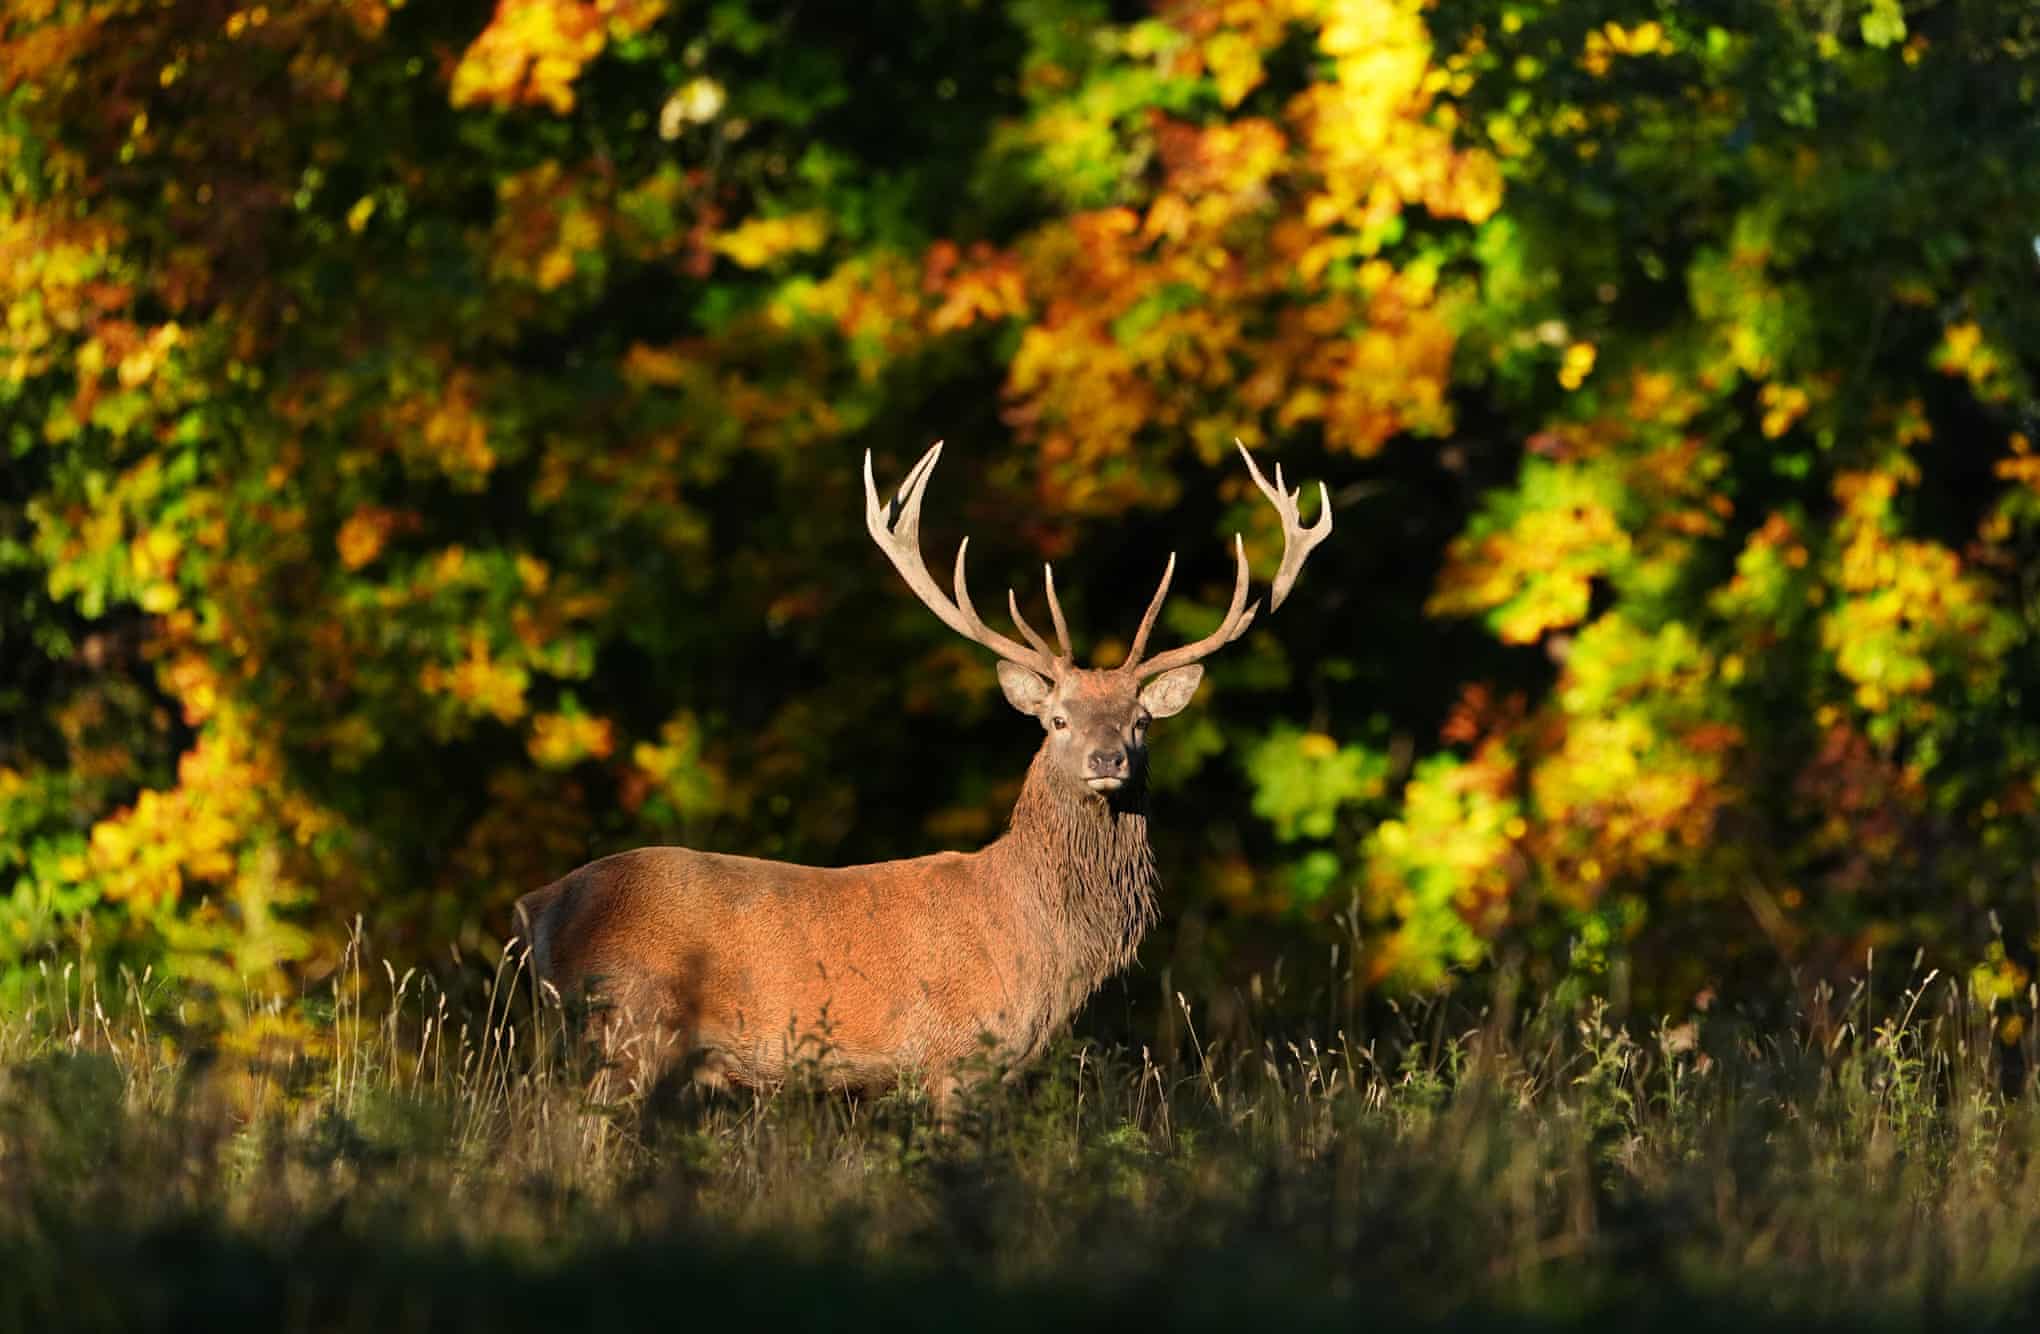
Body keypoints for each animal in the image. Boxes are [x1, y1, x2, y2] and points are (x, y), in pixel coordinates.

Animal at [515, 440, 1331, 1116]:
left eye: (1141, 720)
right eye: (1057, 720)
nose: (1109, 760)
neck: (1037, 941)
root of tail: (539, 905)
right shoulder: (956, 1055)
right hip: (629, 1024)